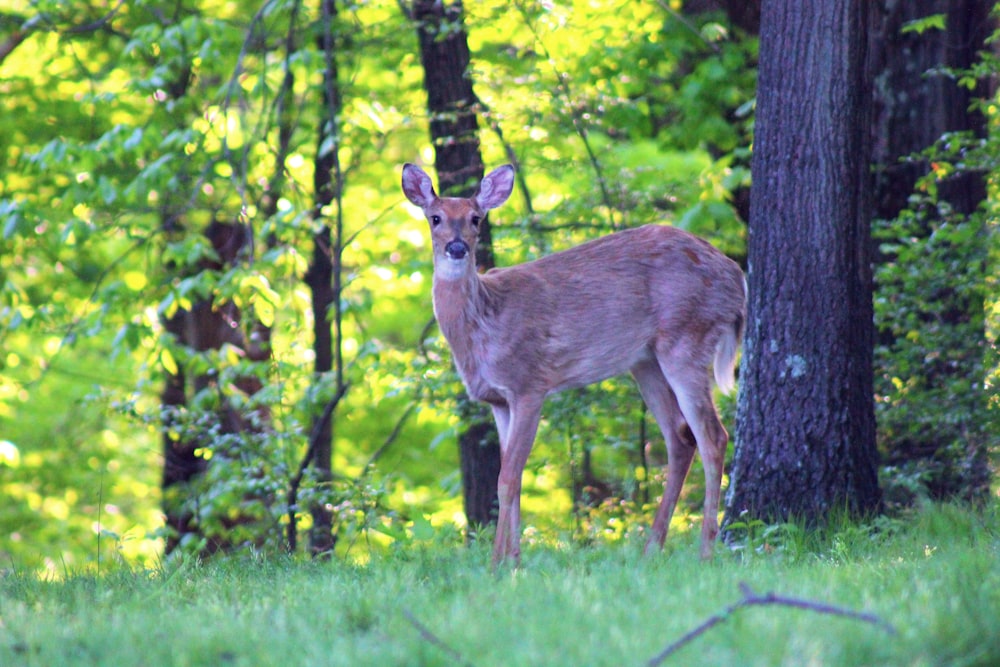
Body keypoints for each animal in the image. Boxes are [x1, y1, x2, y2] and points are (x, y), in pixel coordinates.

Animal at [402, 164, 748, 568]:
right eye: (435, 218)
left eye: (476, 218)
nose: (457, 247)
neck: (483, 325)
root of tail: (737, 277)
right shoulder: (498, 401)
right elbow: (513, 477)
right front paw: (514, 561)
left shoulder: (530, 384)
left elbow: (507, 478)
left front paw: (497, 564)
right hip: (645, 361)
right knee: (680, 439)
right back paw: (651, 550)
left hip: (687, 338)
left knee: (713, 436)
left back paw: (705, 552)